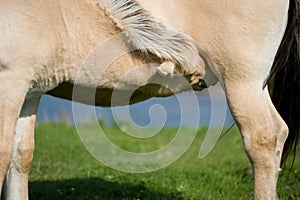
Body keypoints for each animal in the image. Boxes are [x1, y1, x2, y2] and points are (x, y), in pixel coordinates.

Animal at [0, 0, 300, 199]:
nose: (200, 77)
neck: (56, 13)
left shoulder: (11, 81)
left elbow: (4, 155)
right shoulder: (29, 88)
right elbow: (20, 156)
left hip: (242, 80)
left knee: (261, 139)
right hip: (256, 83)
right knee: (279, 133)